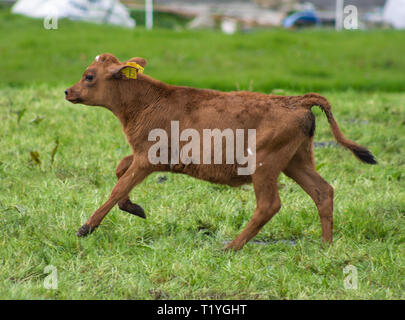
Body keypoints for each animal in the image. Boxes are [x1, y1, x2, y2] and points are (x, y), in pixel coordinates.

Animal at [64, 53, 376, 251]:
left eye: (89, 76)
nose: (68, 91)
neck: (147, 101)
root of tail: (294, 100)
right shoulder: (145, 156)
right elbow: (120, 170)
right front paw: (135, 208)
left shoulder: (147, 158)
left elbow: (118, 186)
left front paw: (86, 228)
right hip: (297, 162)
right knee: (323, 191)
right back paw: (326, 245)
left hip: (264, 165)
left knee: (269, 205)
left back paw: (232, 246)